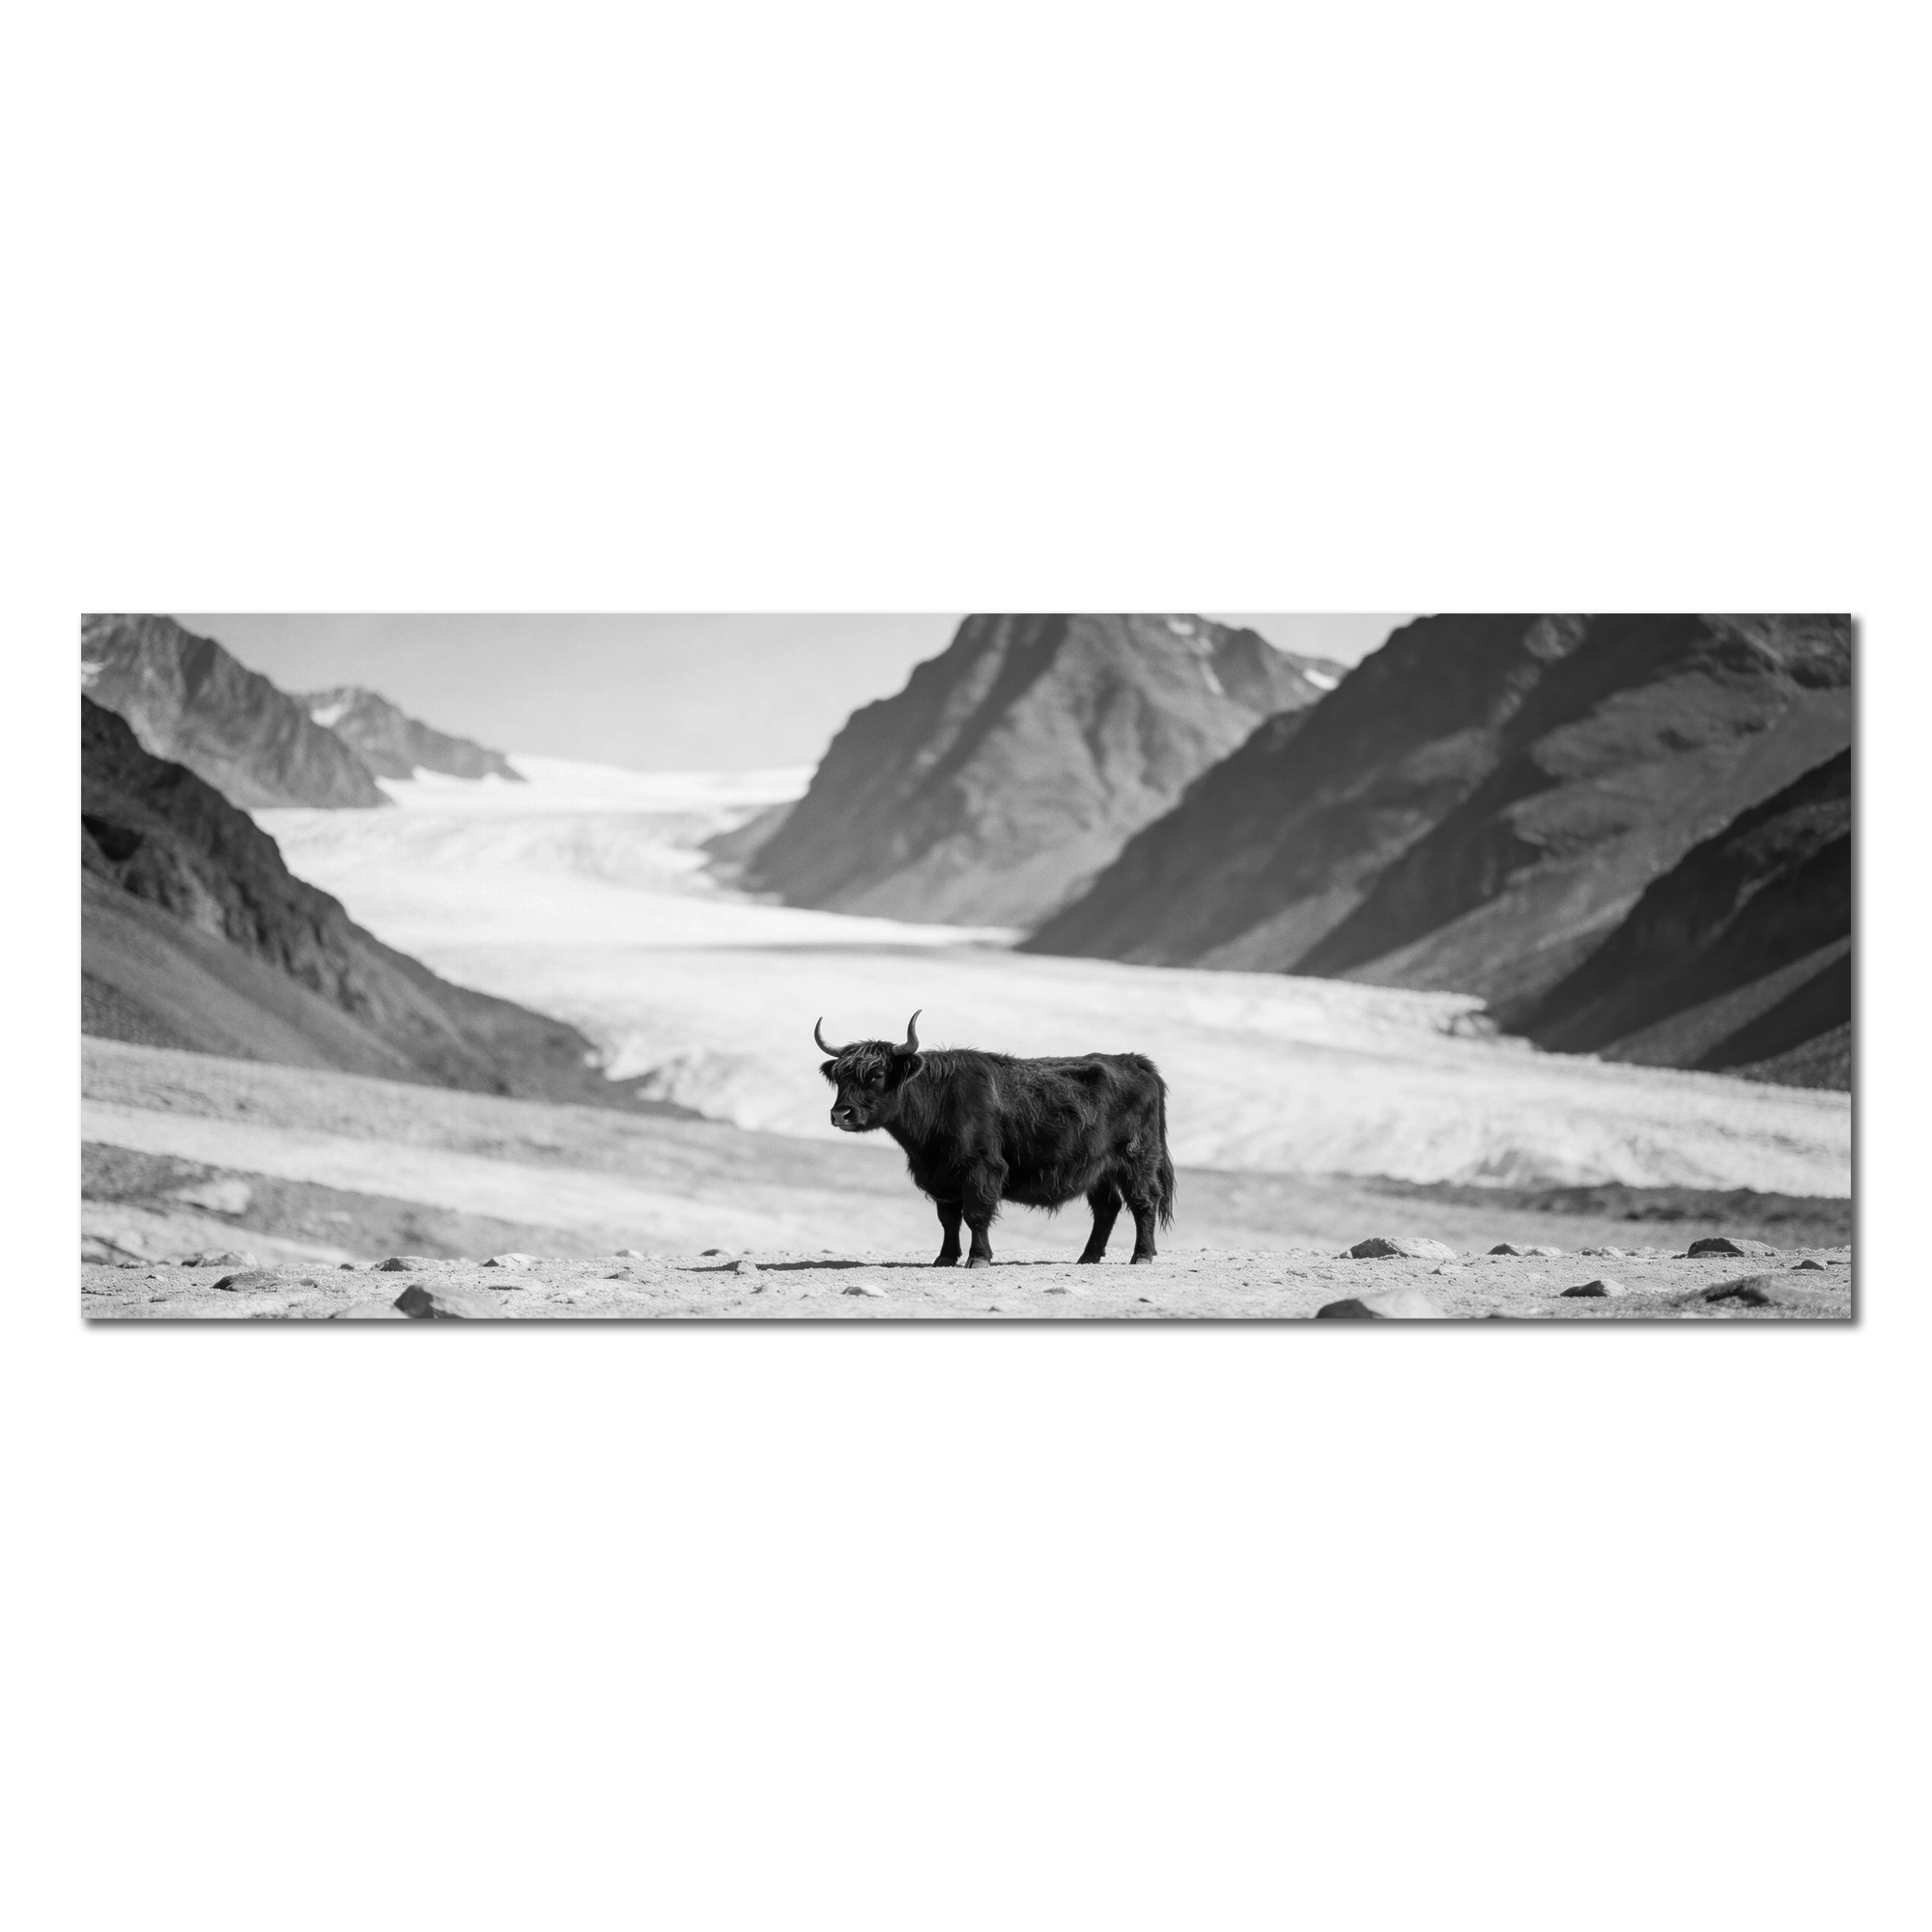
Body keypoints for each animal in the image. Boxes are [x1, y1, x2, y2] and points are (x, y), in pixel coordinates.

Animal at [814, 1010, 1175, 1269]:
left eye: (876, 1075)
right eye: (840, 1077)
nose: (841, 1114)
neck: (938, 1100)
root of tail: (1134, 1061)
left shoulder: (981, 1168)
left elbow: (976, 1213)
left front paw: (978, 1258)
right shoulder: (941, 1176)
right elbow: (948, 1219)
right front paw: (944, 1258)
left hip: (1136, 1159)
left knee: (1144, 1201)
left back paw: (1142, 1255)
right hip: (1098, 1168)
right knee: (1107, 1208)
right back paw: (1088, 1257)